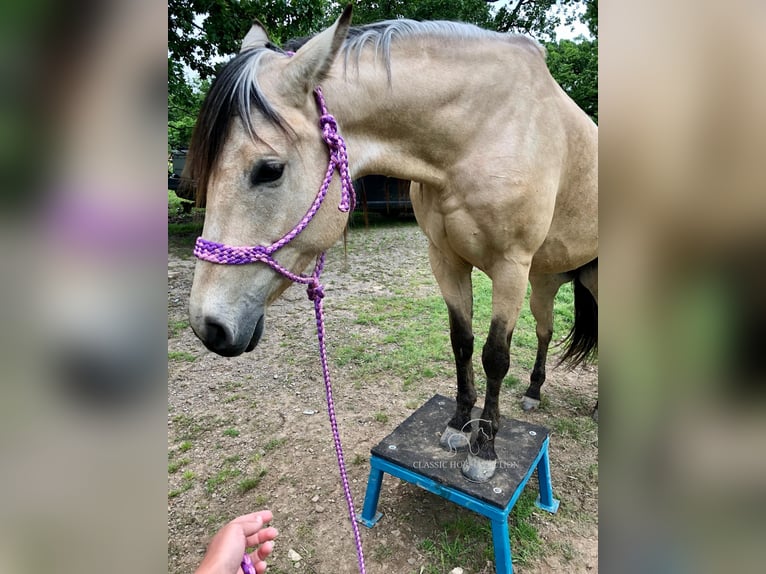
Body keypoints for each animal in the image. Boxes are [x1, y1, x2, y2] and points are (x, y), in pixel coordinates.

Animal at [186, 7, 600, 486]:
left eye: (269, 170)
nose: (208, 327)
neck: (486, 130)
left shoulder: (510, 267)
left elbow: (494, 356)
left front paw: (484, 450)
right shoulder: (446, 260)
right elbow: (462, 342)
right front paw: (458, 425)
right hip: (546, 281)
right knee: (545, 330)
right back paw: (534, 390)